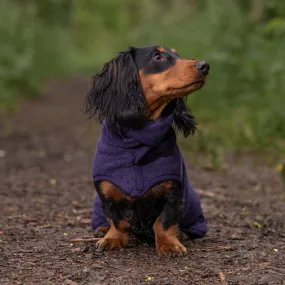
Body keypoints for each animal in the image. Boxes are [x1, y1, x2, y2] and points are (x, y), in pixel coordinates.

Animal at [84, 45, 209, 255]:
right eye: (157, 56)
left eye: (177, 54)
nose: (205, 66)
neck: (139, 136)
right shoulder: (106, 190)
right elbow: (118, 220)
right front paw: (112, 238)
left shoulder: (172, 189)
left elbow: (164, 222)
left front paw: (169, 244)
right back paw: (102, 229)